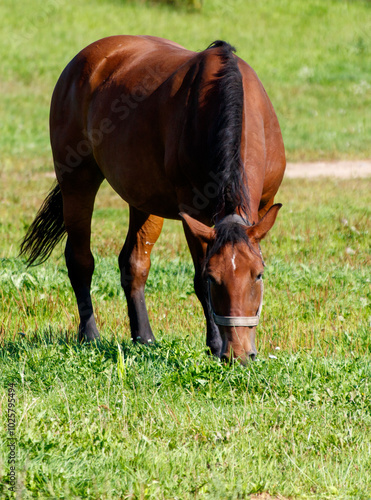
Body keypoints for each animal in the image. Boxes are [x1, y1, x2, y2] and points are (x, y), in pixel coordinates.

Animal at [19, 36, 288, 364]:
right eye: (214, 278)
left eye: (258, 275)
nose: (237, 354)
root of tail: (88, 57)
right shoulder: (193, 210)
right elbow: (197, 280)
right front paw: (214, 345)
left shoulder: (262, 205)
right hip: (77, 182)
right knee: (80, 259)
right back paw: (90, 335)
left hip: (143, 201)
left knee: (134, 263)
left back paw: (144, 337)